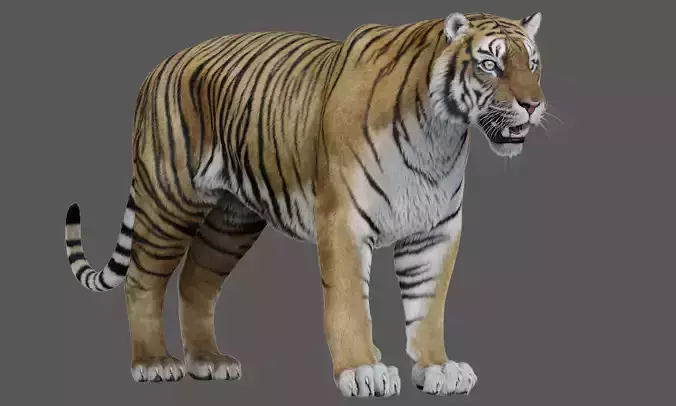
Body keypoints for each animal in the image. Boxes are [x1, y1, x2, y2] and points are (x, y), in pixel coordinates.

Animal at [63, 11, 546, 398]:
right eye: (490, 65)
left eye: (533, 64)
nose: (533, 104)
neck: (440, 136)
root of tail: (158, 67)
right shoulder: (344, 221)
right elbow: (350, 303)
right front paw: (363, 370)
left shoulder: (434, 231)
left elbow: (429, 306)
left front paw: (438, 368)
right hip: (169, 199)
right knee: (142, 280)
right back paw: (153, 363)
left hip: (231, 219)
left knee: (196, 280)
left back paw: (208, 361)